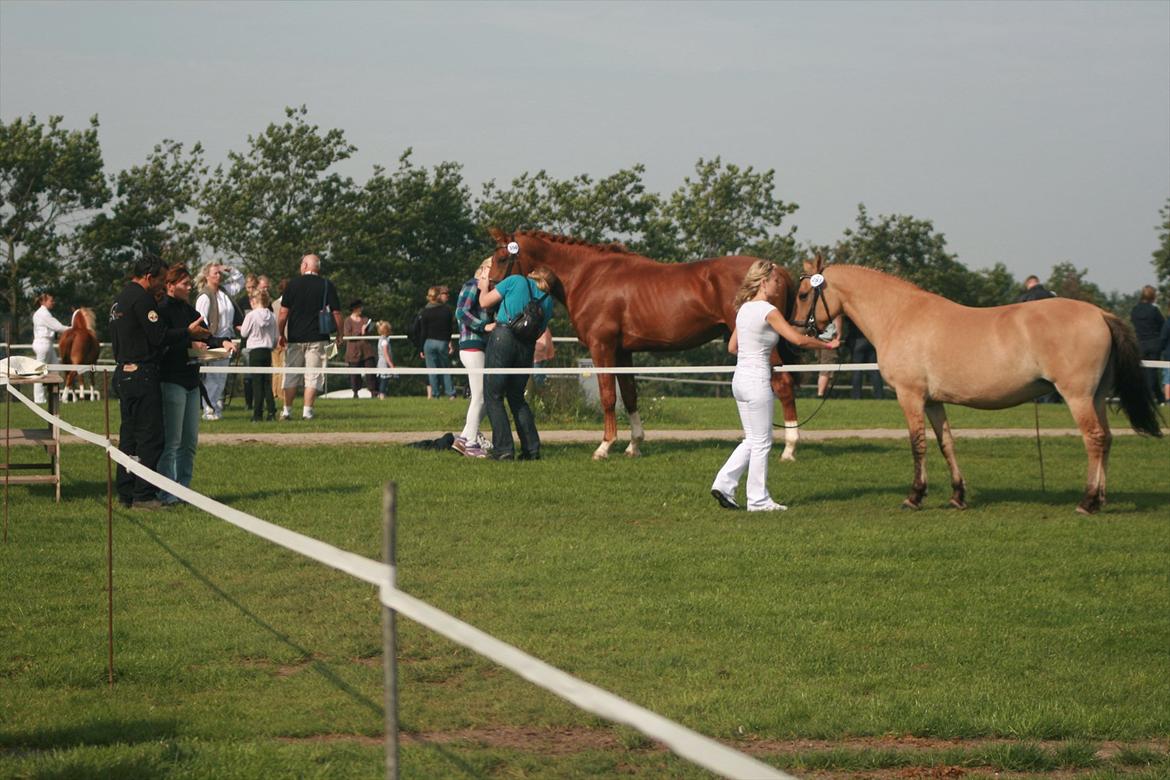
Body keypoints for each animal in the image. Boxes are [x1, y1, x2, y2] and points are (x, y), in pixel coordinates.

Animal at [486, 226, 804, 458]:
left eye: (501, 259)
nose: (489, 297)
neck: (588, 275)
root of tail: (774, 268)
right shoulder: (623, 352)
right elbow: (629, 396)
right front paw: (634, 445)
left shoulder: (602, 347)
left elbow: (608, 396)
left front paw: (604, 446)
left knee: (783, 384)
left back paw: (789, 448)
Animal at [790, 259, 1165, 514]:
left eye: (804, 293)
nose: (796, 328)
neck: (900, 315)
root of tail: (1100, 314)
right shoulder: (933, 401)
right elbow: (946, 444)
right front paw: (957, 496)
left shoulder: (910, 396)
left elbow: (918, 445)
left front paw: (915, 496)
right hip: (1097, 397)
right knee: (1107, 439)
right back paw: (1099, 497)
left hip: (1078, 397)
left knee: (1094, 439)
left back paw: (1087, 502)